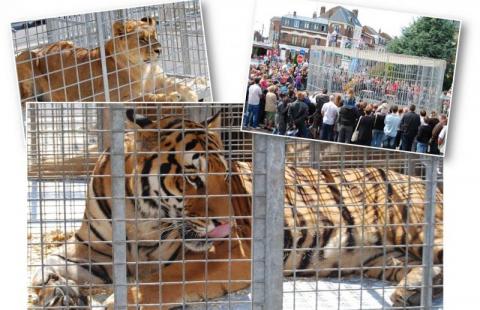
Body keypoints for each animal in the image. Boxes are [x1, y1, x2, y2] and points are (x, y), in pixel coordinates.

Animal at [29, 109, 442, 310]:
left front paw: (116, 300)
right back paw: (416, 288)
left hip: (416, 226)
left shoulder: (231, 253)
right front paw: (57, 292)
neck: (141, 220)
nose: (228, 222)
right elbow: (47, 263)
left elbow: (157, 284)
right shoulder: (93, 249)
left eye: (225, 175)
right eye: (192, 177)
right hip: (375, 255)